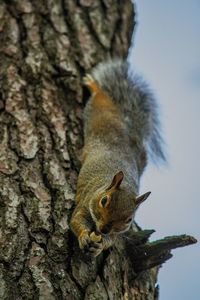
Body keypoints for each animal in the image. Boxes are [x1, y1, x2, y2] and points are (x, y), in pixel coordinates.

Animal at [69, 58, 165, 255]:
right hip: (99, 112)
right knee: (100, 97)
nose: (104, 229)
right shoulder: (86, 201)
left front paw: (98, 246)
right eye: (104, 200)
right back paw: (93, 85)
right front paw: (84, 236)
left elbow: (111, 241)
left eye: (129, 219)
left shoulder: (116, 234)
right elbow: (76, 220)